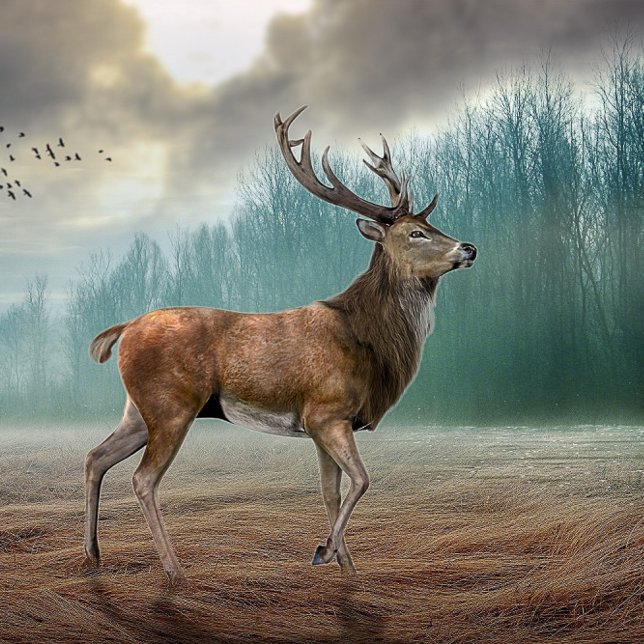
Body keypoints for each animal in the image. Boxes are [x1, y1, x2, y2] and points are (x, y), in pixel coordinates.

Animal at [83, 106, 477, 583]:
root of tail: (124, 329)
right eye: (416, 233)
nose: (469, 248)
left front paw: (345, 565)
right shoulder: (326, 411)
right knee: (142, 479)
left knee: (96, 457)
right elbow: (362, 481)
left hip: (139, 410)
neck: (368, 341)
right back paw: (175, 572)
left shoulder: (323, 425)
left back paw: (94, 556)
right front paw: (324, 552)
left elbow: (331, 491)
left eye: (431, 224)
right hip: (171, 404)